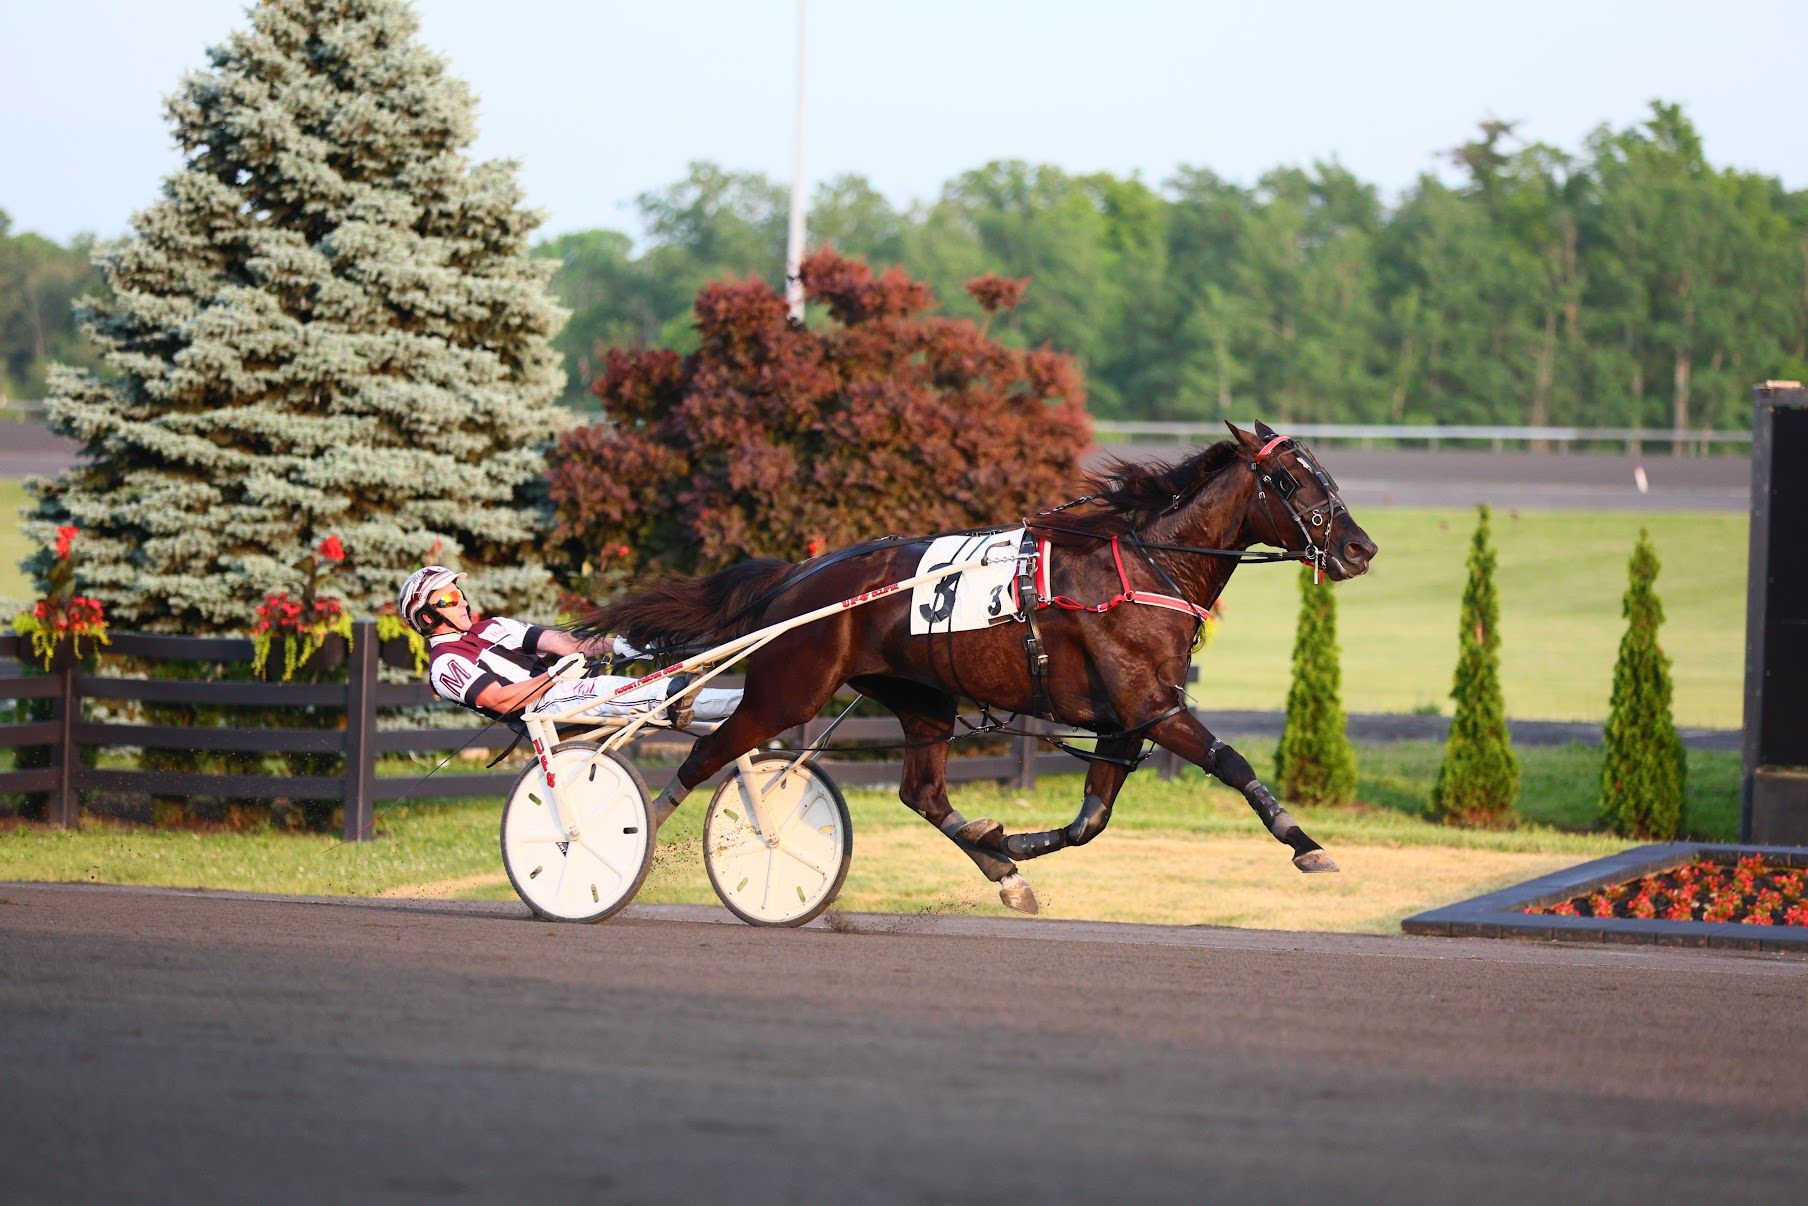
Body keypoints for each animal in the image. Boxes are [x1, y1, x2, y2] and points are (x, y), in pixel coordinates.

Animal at [585, 419, 1374, 911]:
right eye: (1290, 482)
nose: (1360, 548)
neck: (1148, 566)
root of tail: (799, 577)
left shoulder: (1124, 723)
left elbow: (1089, 820)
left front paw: (1010, 842)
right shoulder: (1155, 709)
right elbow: (1232, 764)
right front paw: (1308, 845)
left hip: (921, 697)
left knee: (924, 795)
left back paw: (1001, 869)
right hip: (788, 690)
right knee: (707, 755)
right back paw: (624, 841)